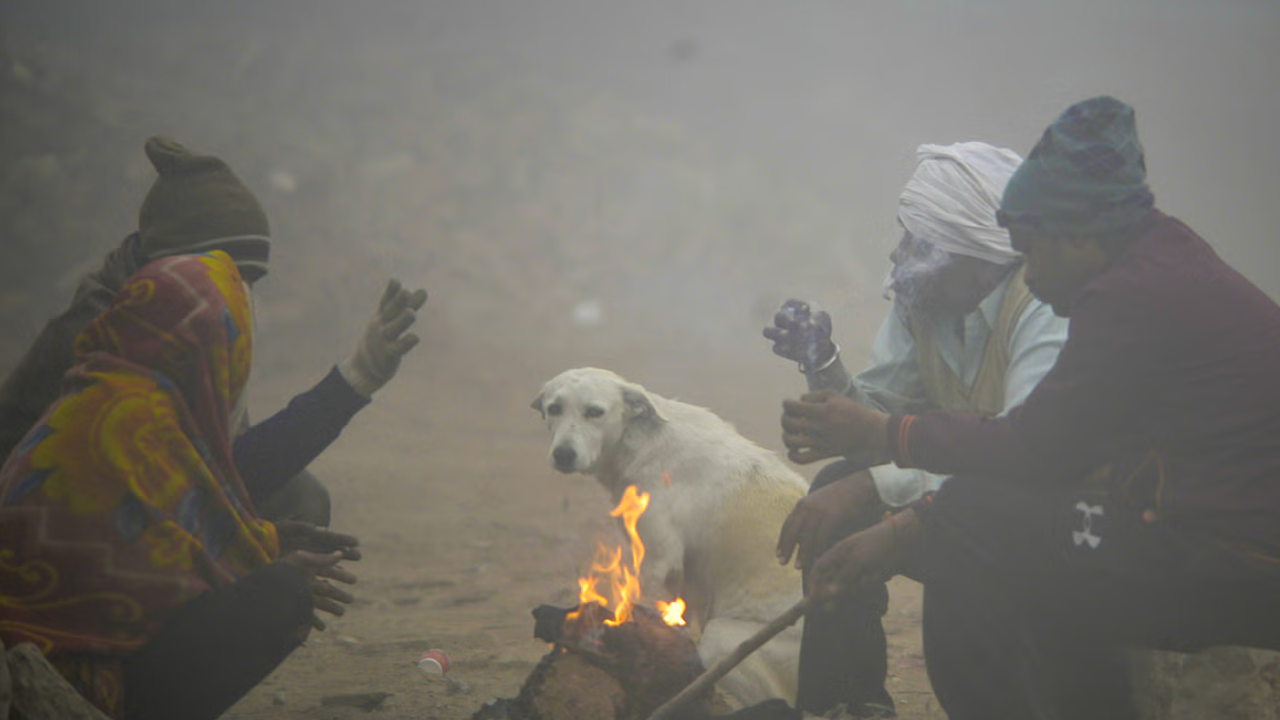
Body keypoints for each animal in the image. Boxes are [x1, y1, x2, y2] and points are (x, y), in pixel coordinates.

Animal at [535, 363, 803, 707]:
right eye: (554, 408)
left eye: (595, 412)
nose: (563, 454)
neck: (642, 441)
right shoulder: (688, 580)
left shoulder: (660, 560)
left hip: (724, 640)